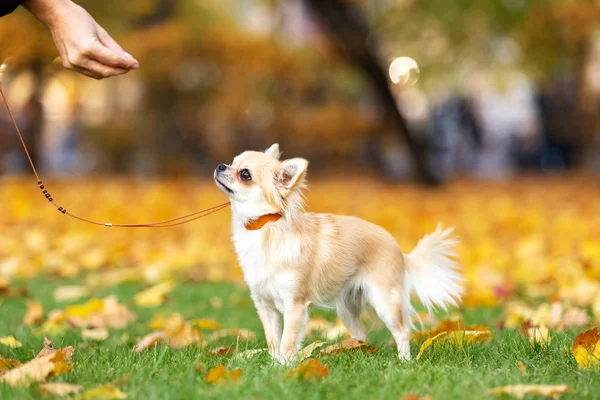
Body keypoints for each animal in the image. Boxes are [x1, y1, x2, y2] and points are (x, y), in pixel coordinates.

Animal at [216, 143, 464, 362]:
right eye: (232, 162)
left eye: (245, 174)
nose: (220, 166)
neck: (264, 229)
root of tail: (401, 251)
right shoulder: (265, 307)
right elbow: (273, 342)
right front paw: (274, 367)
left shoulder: (295, 306)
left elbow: (287, 342)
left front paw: (284, 369)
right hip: (347, 310)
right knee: (361, 335)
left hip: (385, 301)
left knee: (401, 331)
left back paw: (404, 362)